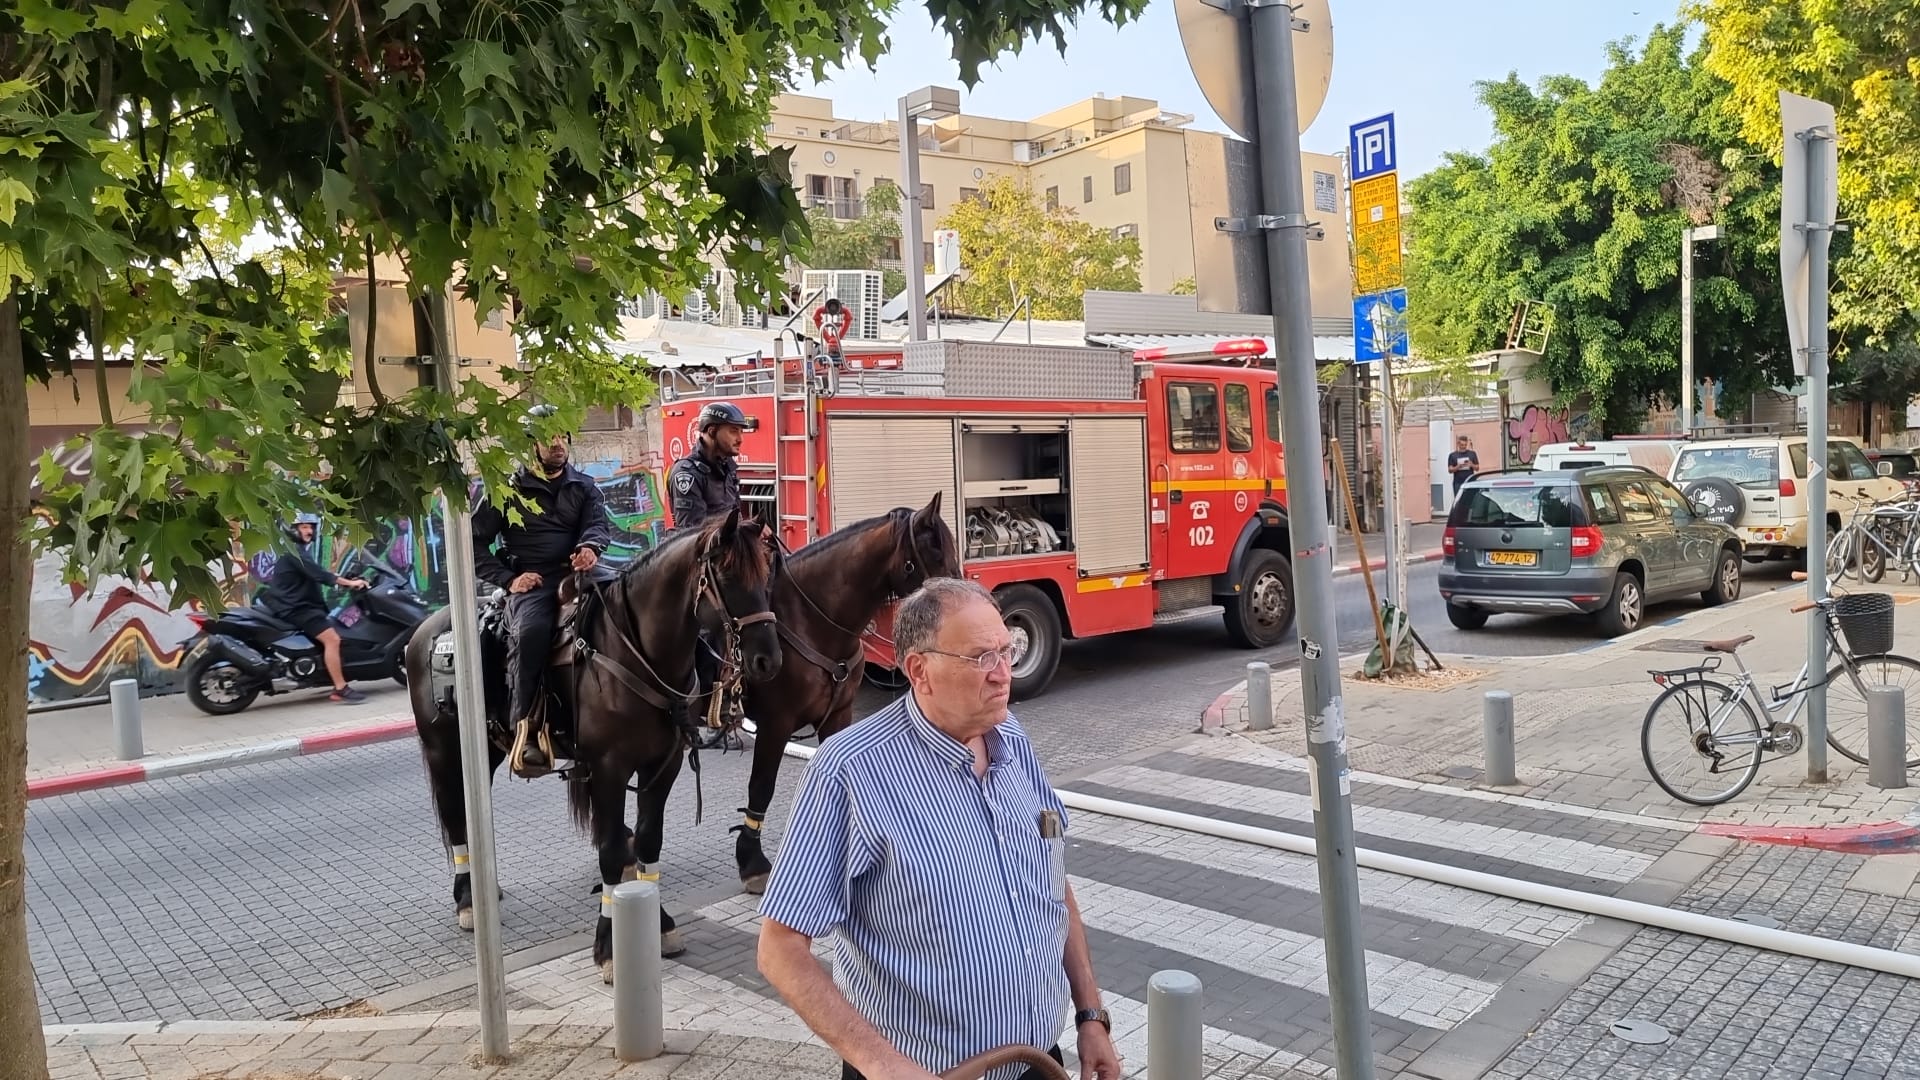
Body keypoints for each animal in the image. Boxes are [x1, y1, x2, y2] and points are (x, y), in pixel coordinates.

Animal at [408, 507, 783, 968]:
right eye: (728, 575)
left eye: (767, 572)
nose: (768, 660)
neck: (636, 654)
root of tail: (426, 629)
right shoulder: (608, 769)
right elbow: (610, 853)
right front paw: (607, 944)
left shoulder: (663, 766)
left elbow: (648, 841)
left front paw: (659, 924)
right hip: (444, 750)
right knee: (455, 815)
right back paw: (467, 901)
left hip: (486, 752)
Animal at [714, 491, 967, 887]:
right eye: (935, 550)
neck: (808, 619)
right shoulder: (776, 723)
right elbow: (762, 785)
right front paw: (752, 859)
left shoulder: (838, 716)